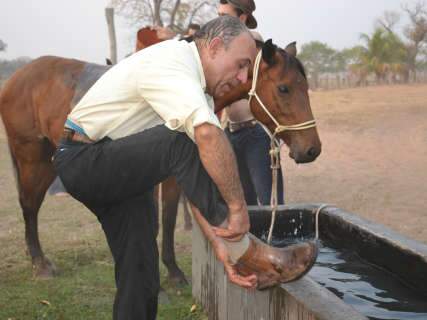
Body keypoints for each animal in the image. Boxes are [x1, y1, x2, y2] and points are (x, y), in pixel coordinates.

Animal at [0, 39, 320, 282]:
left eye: (306, 86)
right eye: (284, 88)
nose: (312, 150)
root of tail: (16, 77)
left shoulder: (174, 175)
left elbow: (168, 218)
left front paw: (174, 271)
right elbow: (158, 222)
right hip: (34, 158)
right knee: (29, 205)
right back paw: (40, 263)